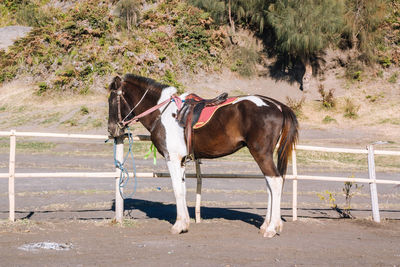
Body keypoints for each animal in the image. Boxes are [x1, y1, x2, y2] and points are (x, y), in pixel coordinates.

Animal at [106, 74, 296, 239]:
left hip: (261, 153)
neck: (163, 112)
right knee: (271, 184)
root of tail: (278, 106)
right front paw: (184, 223)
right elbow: (182, 189)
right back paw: (267, 224)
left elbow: (177, 189)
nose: (111, 129)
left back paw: (271, 228)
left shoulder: (172, 158)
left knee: (275, 182)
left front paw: (178, 226)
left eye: (111, 100)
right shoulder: (181, 161)